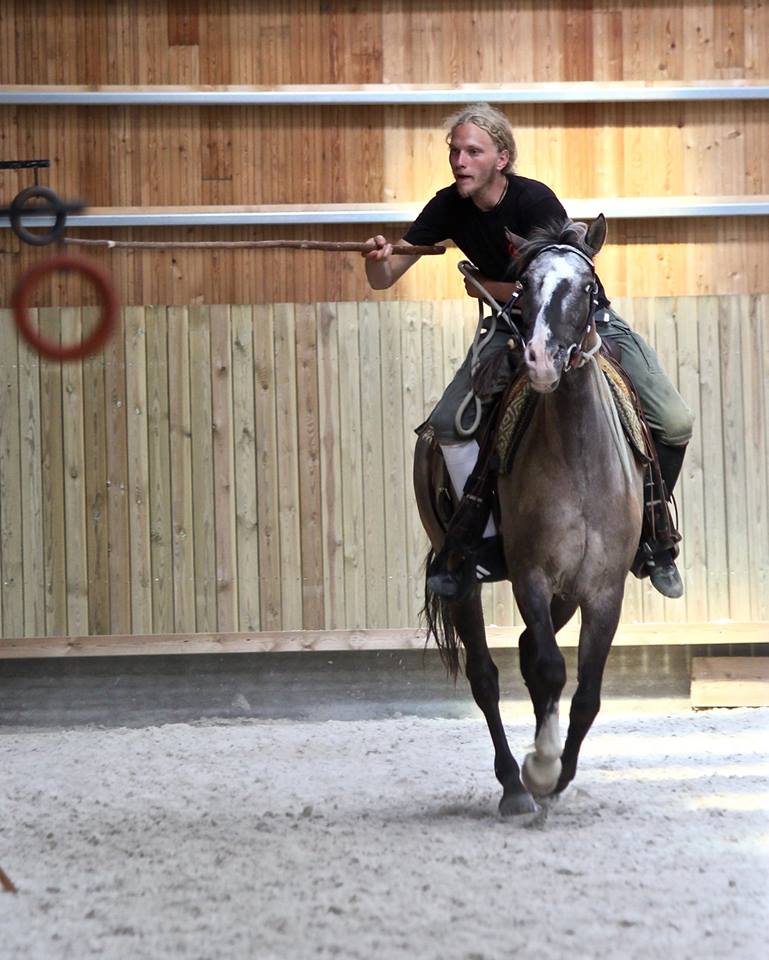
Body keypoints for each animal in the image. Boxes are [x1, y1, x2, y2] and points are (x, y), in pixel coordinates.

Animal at [412, 214, 644, 812]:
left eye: (586, 288)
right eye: (524, 287)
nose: (539, 359)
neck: (579, 458)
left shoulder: (603, 587)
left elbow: (586, 691)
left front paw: (559, 775)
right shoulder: (532, 576)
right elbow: (549, 667)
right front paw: (541, 769)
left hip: (567, 591)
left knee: (524, 655)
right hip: (464, 575)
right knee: (486, 674)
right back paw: (514, 786)